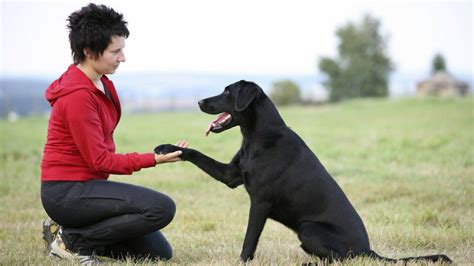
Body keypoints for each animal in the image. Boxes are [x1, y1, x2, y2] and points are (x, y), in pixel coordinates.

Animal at [156, 80, 452, 262]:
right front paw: (166, 148)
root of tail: (368, 250)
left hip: (308, 228)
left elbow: (249, 241)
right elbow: (195, 153)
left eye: (228, 92)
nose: (199, 102)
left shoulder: (260, 203)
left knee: (341, 259)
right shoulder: (231, 175)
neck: (257, 136)